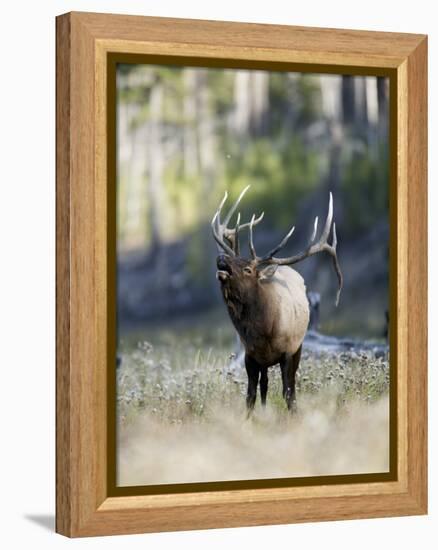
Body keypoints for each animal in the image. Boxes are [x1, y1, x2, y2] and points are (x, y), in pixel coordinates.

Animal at [211, 185, 342, 414]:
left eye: (248, 269)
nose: (222, 258)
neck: (265, 330)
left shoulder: (288, 351)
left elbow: (289, 393)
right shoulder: (250, 355)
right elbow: (250, 396)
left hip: (298, 346)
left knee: (287, 387)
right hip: (264, 362)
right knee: (264, 385)